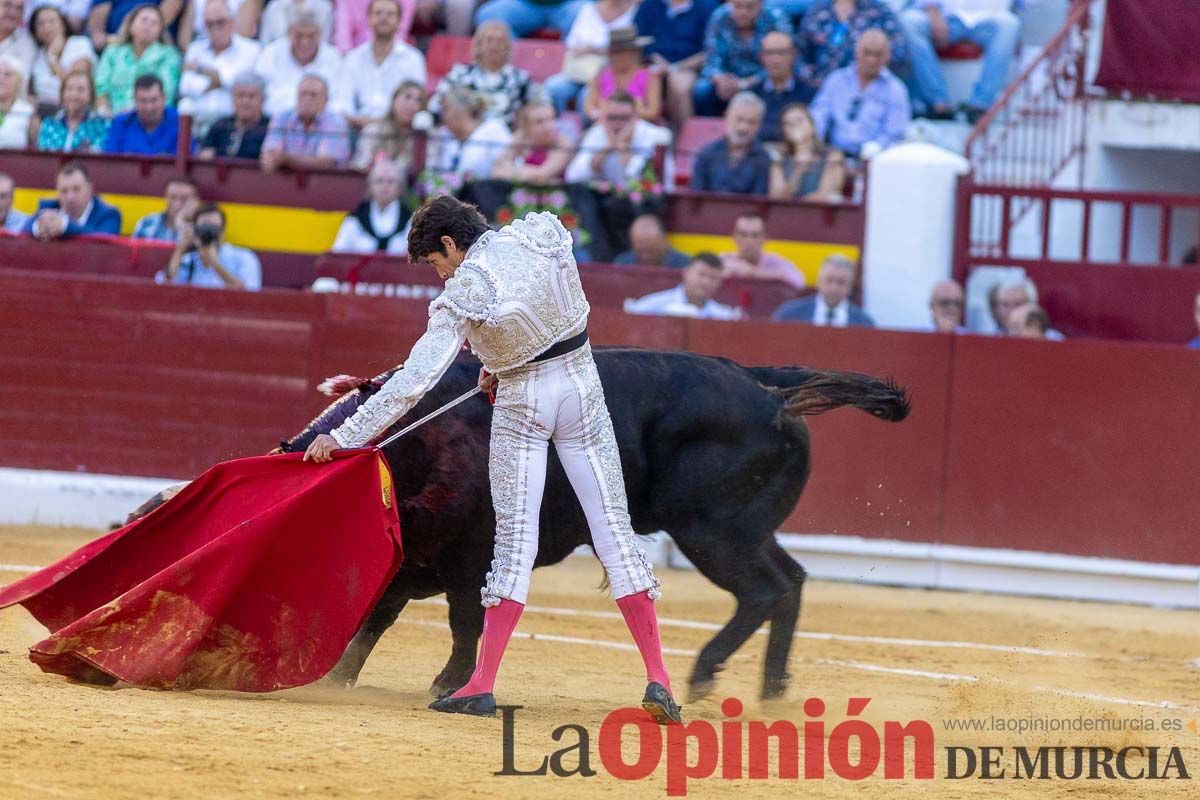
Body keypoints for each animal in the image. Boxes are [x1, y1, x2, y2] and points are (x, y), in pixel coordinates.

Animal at [131, 347, 907, 695]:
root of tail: (770, 390)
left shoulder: (469, 558)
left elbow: (464, 621)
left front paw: (448, 683)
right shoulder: (409, 565)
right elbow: (374, 622)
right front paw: (336, 679)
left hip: (712, 530)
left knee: (765, 590)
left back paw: (706, 675)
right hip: (744, 529)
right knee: (791, 581)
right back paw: (770, 689)